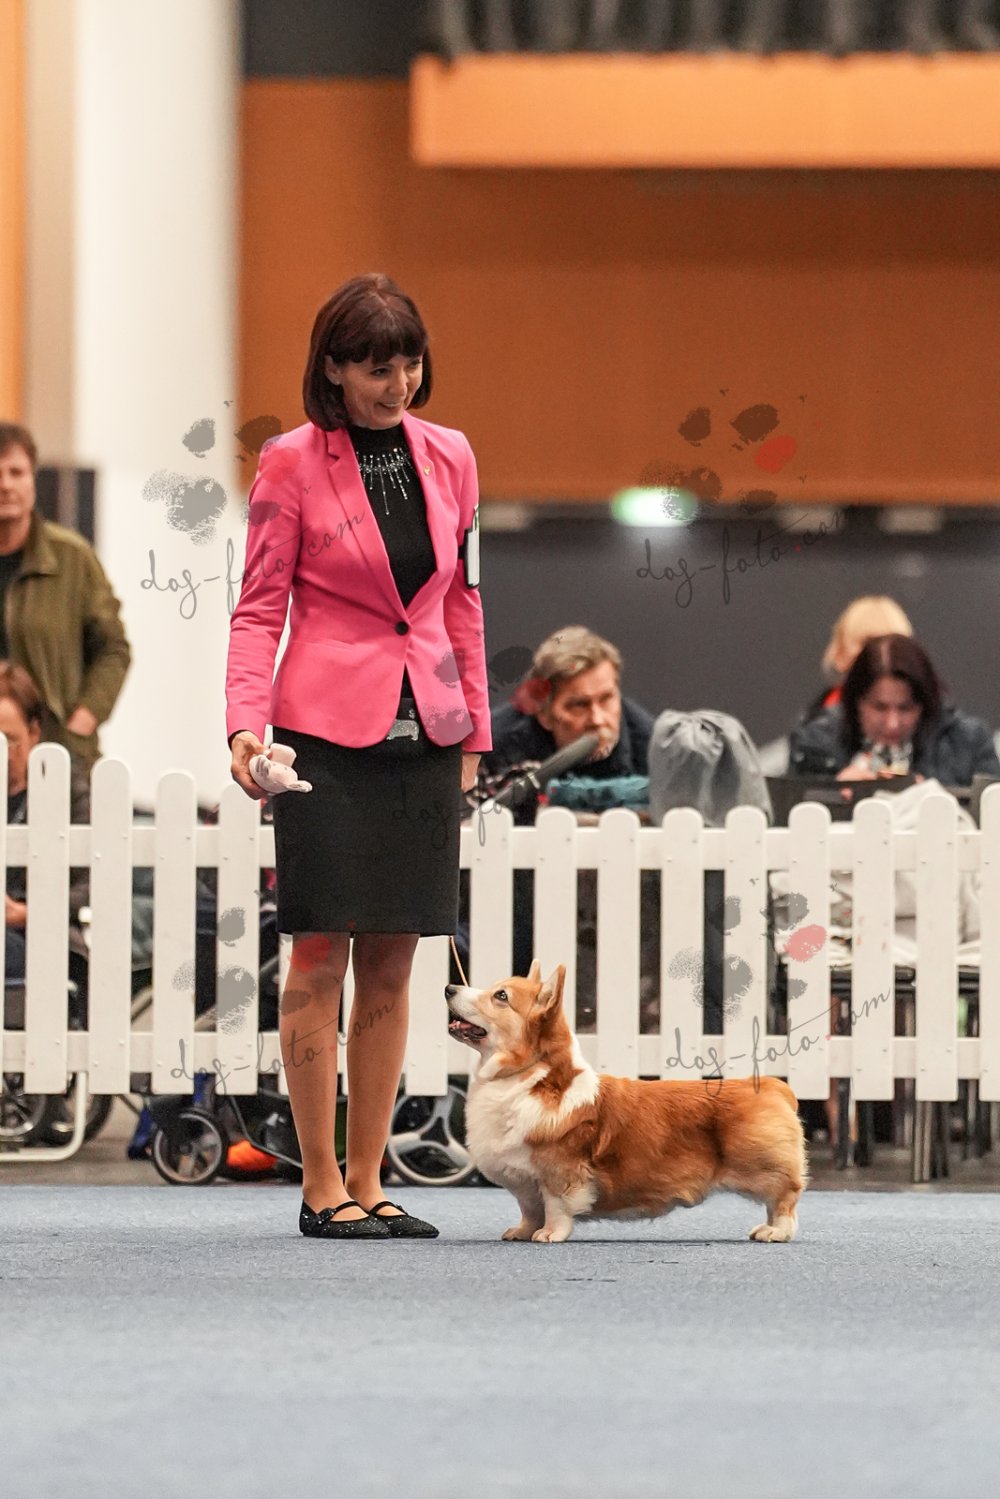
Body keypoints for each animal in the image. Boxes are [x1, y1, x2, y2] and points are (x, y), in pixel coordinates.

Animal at [445, 960, 807, 1243]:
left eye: (501, 996)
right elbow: (529, 1209)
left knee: (785, 1197)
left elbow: (556, 1207)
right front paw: (522, 1232)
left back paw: (775, 1231)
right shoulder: (524, 1182)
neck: (528, 1078)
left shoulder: (559, 1173)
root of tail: (771, 1086)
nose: (448, 987)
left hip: (760, 1167)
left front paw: (549, 1234)